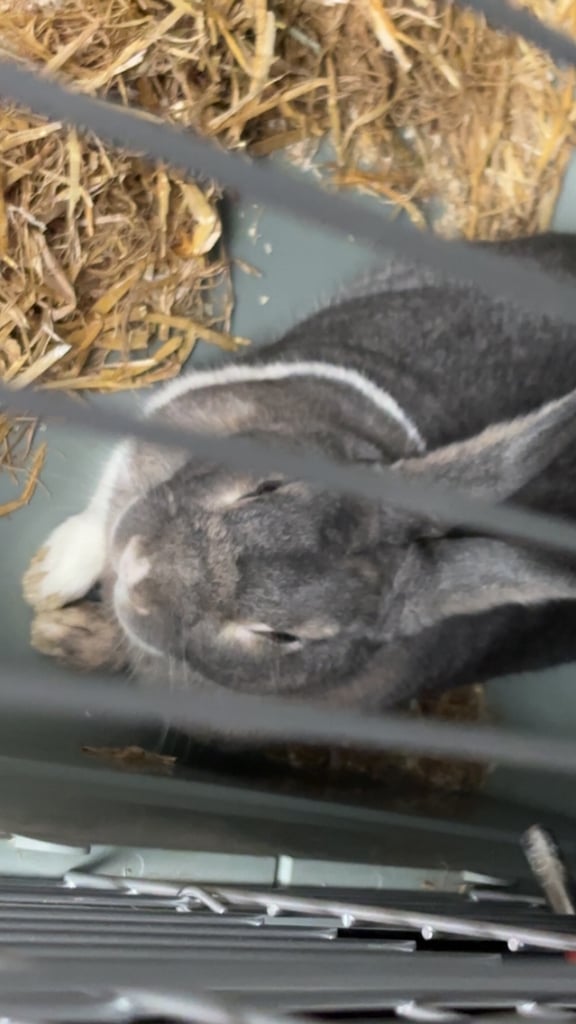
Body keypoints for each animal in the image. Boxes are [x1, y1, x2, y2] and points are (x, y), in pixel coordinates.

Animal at [22, 232, 576, 710]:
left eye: (280, 636)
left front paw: (63, 631)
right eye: (266, 486)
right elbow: (98, 520)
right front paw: (46, 581)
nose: (141, 566)